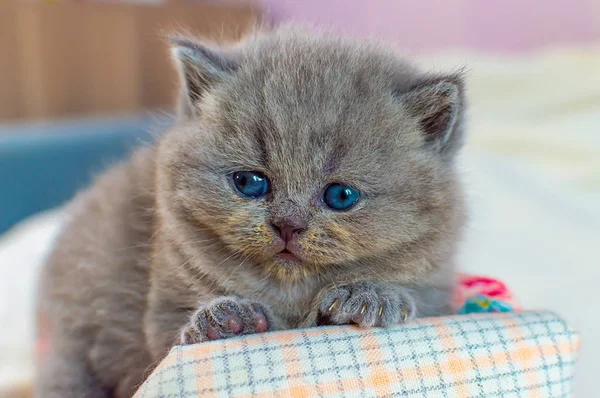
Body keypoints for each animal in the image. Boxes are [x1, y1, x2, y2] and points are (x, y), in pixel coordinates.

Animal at [36, 26, 468, 396]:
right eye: (249, 183)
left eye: (341, 196)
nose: (289, 225)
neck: (290, 291)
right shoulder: (162, 312)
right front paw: (231, 320)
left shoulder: (437, 292)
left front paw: (367, 298)